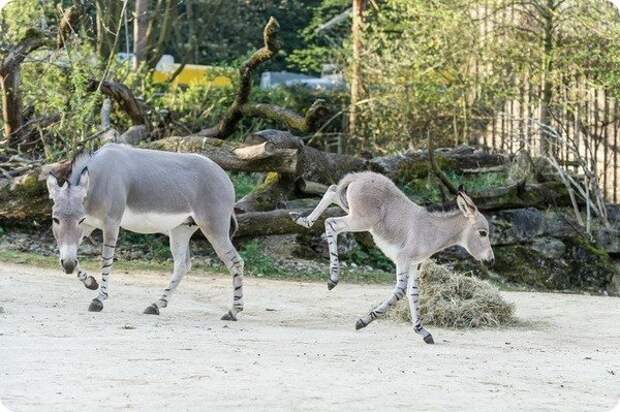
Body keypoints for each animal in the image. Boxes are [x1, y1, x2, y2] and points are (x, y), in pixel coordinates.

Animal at [46, 143, 243, 320]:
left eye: (79, 219)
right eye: (55, 219)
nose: (67, 266)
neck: (97, 182)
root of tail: (223, 174)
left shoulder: (110, 223)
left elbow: (106, 260)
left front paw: (99, 299)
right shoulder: (88, 225)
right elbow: (65, 253)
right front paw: (90, 282)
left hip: (214, 226)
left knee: (235, 261)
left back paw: (233, 312)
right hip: (181, 229)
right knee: (182, 265)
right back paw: (156, 305)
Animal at [292, 171, 494, 342]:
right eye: (483, 233)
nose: (491, 261)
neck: (431, 230)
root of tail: (359, 176)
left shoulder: (414, 265)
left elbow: (413, 294)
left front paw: (422, 331)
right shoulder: (403, 259)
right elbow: (400, 292)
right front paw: (363, 321)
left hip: (350, 208)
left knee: (332, 190)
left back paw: (304, 220)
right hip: (360, 220)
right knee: (331, 223)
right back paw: (333, 277)